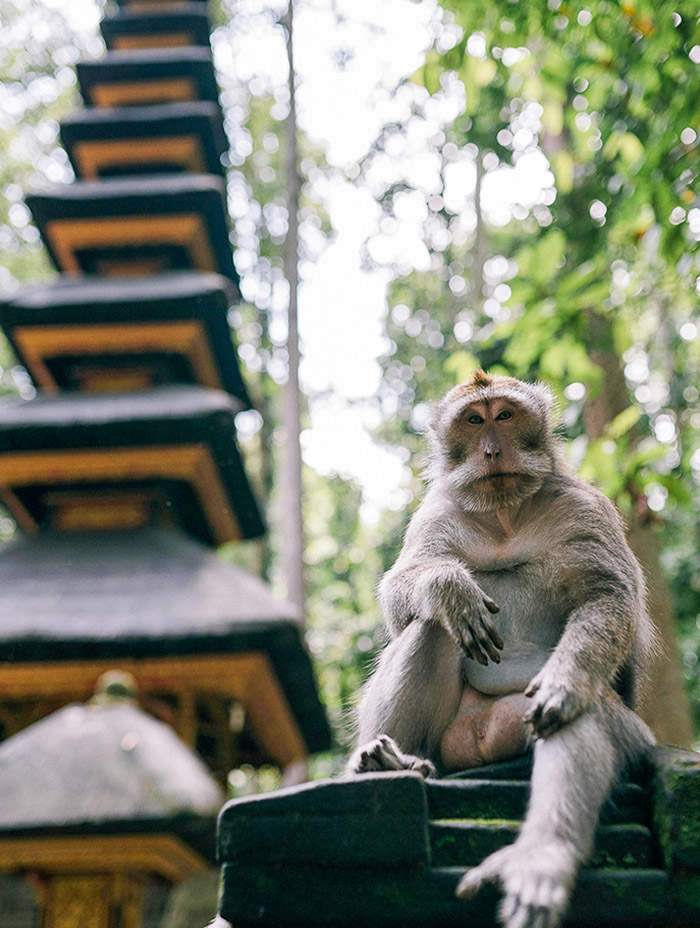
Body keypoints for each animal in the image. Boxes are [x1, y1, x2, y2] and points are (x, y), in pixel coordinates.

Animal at [346, 370, 656, 928]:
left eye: (506, 416)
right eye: (474, 420)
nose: (492, 450)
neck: (506, 515)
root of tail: (481, 741)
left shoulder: (586, 509)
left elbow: (607, 598)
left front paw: (565, 681)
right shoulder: (436, 514)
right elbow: (403, 596)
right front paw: (450, 587)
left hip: (620, 733)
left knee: (579, 709)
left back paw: (541, 856)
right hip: (446, 743)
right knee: (434, 627)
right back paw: (382, 760)